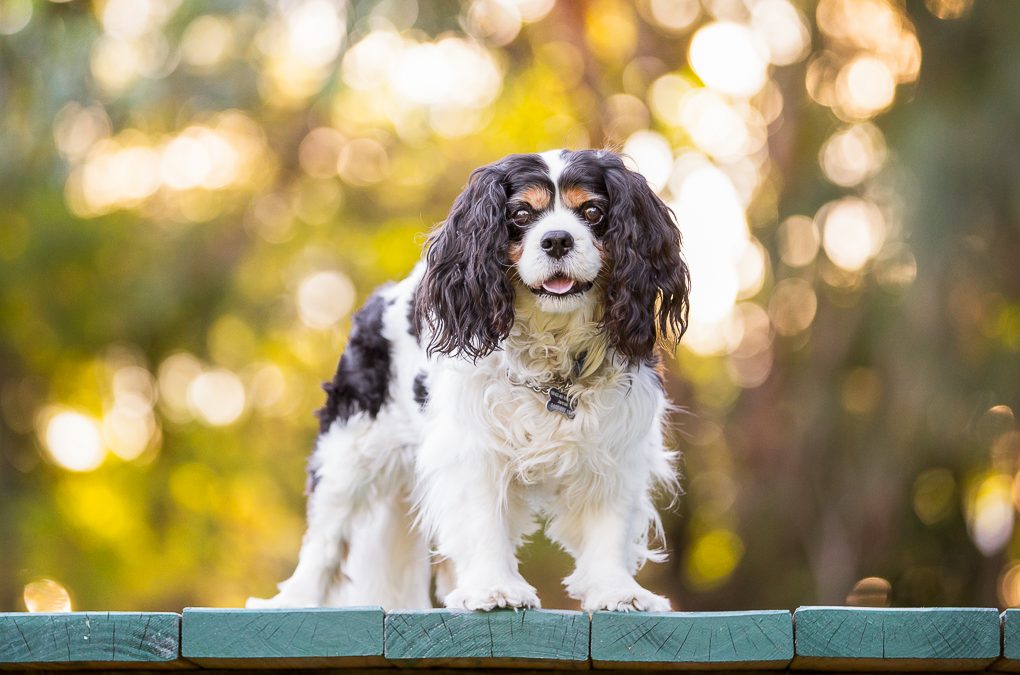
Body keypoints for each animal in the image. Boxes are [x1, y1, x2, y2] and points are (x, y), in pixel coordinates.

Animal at [248, 150, 693, 615]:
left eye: (592, 211)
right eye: (520, 214)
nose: (556, 240)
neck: (552, 349)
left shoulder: (617, 445)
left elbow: (609, 523)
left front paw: (617, 591)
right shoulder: (474, 446)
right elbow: (482, 518)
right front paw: (494, 588)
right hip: (350, 450)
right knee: (325, 536)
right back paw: (295, 600)